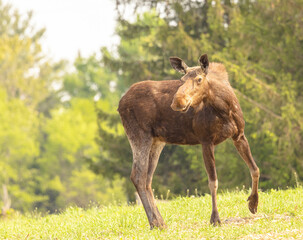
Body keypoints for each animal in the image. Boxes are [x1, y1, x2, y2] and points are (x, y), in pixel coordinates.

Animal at [117, 53, 260, 229]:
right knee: (137, 175)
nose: (177, 101)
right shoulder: (206, 140)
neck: (224, 108)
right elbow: (213, 182)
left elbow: (254, 169)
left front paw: (253, 203)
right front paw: (215, 218)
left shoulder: (239, 135)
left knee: (147, 179)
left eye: (199, 79)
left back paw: (160, 222)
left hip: (157, 141)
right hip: (139, 135)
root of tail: (120, 103)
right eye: (182, 79)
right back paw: (155, 222)